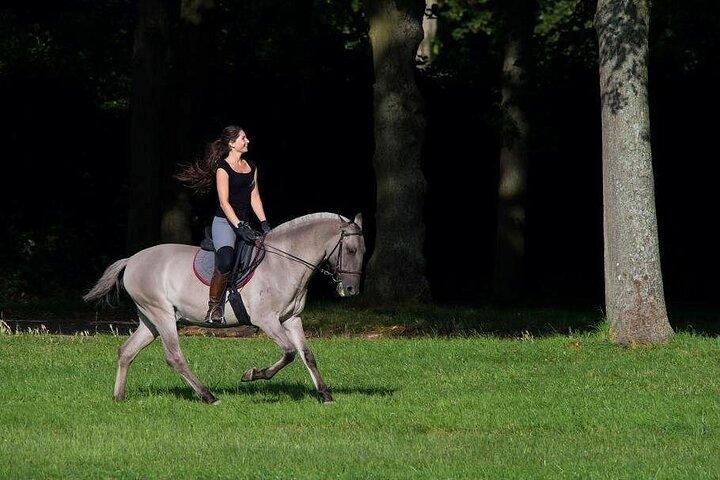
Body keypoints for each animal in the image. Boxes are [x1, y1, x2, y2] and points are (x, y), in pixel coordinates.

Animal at [83, 212, 365, 404]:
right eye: (351, 250)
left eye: (363, 251)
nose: (351, 290)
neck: (283, 262)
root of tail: (132, 260)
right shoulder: (267, 320)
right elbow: (288, 353)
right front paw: (252, 374)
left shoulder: (291, 318)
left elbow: (307, 355)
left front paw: (325, 394)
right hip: (162, 316)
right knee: (174, 357)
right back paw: (208, 396)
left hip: (150, 320)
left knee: (127, 352)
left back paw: (119, 397)